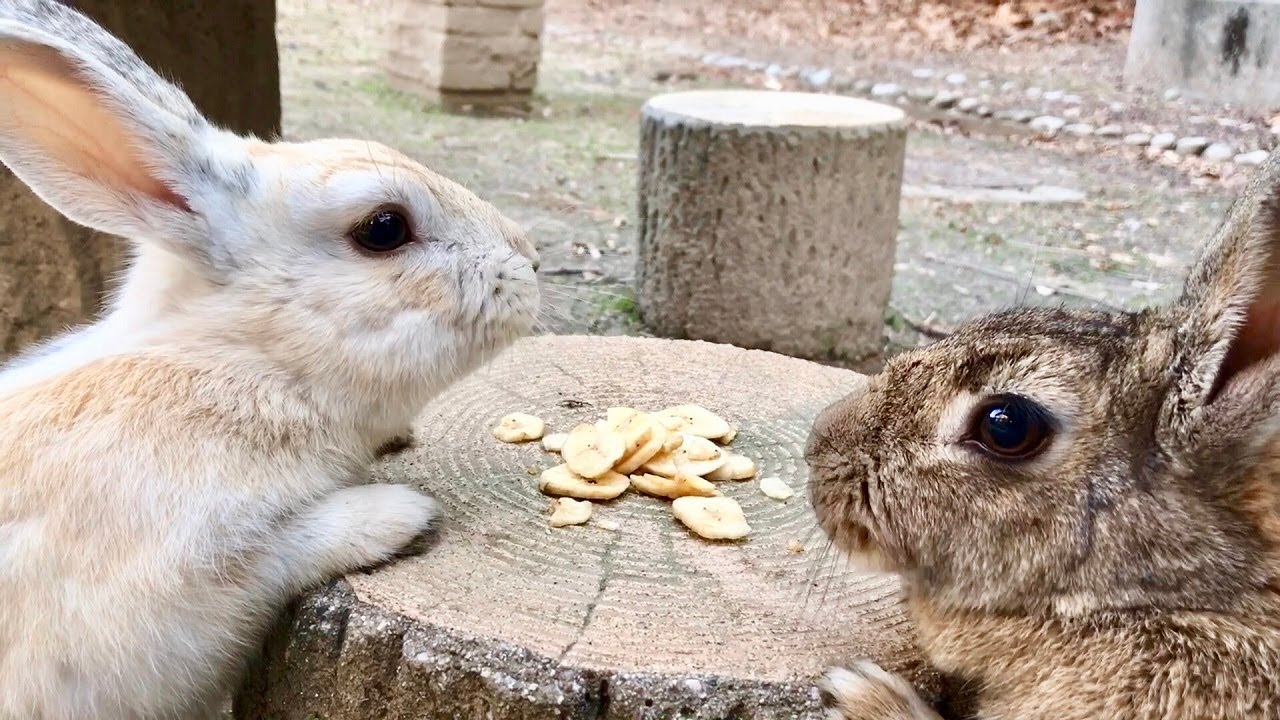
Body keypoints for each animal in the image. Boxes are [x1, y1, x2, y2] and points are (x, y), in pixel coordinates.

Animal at [0, 1, 540, 718]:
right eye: (384, 228)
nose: (529, 259)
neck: (233, 358)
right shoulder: (174, 578)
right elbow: (284, 548)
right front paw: (400, 515)